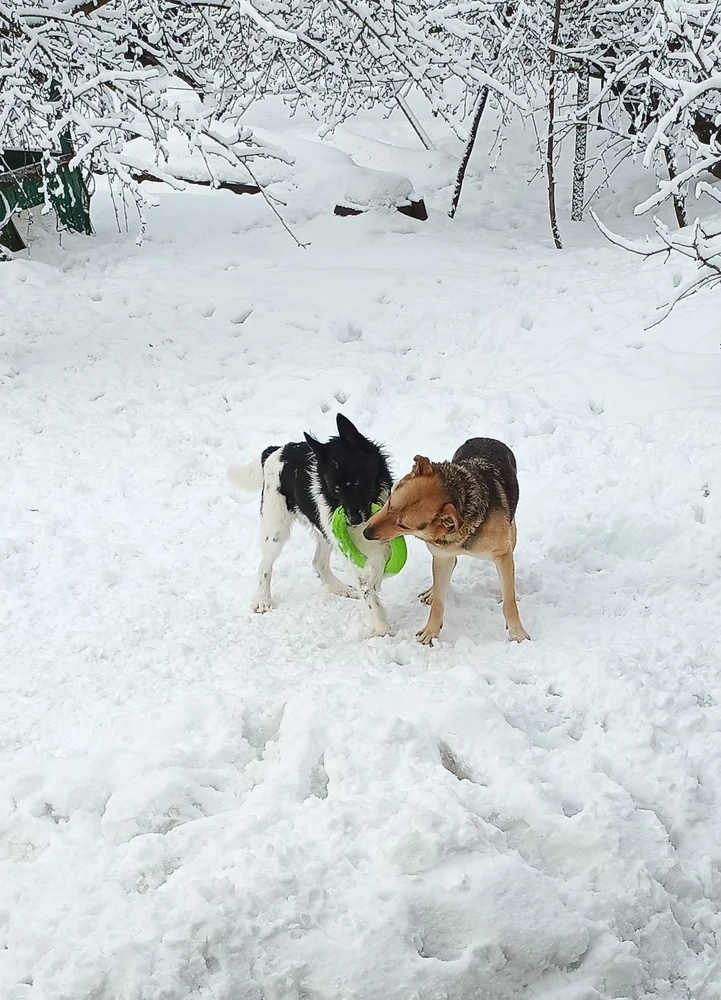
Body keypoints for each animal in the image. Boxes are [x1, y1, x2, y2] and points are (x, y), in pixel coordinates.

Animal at [228, 412, 390, 632]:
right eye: (336, 489)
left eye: (357, 482)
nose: (353, 520)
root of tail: (276, 451)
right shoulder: (346, 544)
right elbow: (368, 591)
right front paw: (382, 629)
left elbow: (382, 553)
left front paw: (373, 576)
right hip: (277, 528)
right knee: (264, 566)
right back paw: (263, 601)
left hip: (322, 529)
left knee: (318, 563)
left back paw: (341, 588)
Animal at [366, 440, 528, 644]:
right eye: (389, 504)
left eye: (403, 525)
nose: (366, 533)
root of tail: (486, 438)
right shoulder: (442, 556)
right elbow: (438, 603)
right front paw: (431, 631)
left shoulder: (502, 552)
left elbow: (510, 601)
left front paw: (517, 632)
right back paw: (431, 591)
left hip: (511, 533)